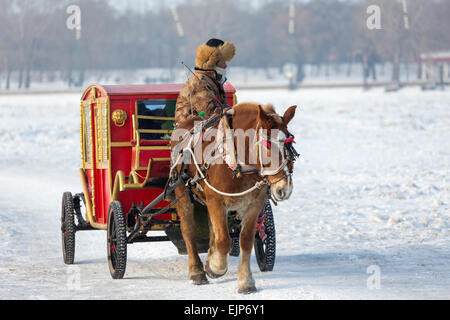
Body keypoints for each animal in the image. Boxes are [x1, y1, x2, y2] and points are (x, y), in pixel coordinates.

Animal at [169, 101, 296, 294]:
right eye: (267, 145)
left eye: (289, 145)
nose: (284, 189)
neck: (238, 166)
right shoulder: (216, 201)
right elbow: (223, 241)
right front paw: (216, 267)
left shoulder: (254, 204)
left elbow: (245, 240)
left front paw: (245, 281)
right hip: (182, 192)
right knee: (188, 229)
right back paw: (197, 271)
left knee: (212, 229)